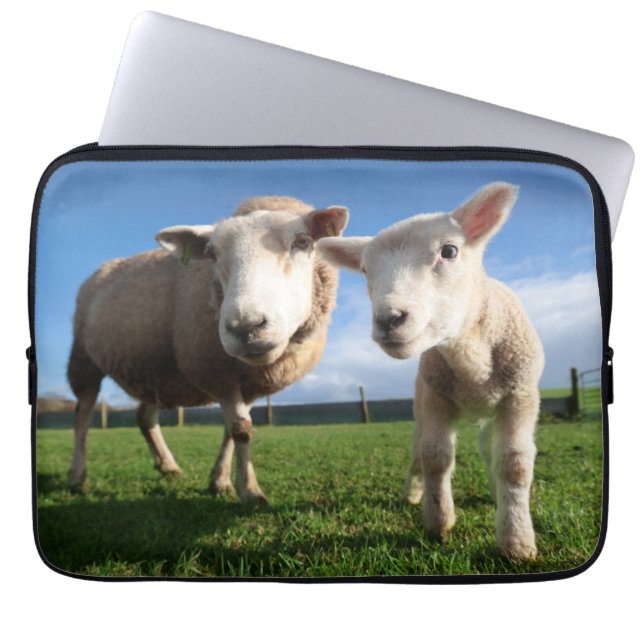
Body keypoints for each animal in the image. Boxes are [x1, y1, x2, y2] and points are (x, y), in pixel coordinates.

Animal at [67, 196, 349, 505]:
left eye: (302, 241)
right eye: (212, 254)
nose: (245, 327)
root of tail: (102, 268)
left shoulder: (246, 382)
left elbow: (232, 430)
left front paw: (220, 480)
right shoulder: (217, 373)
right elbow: (240, 430)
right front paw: (250, 491)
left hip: (156, 369)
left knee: (144, 417)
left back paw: (168, 466)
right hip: (84, 360)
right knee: (82, 416)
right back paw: (78, 476)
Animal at [317, 183, 544, 559]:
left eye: (449, 251)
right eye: (364, 270)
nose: (389, 319)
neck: (469, 357)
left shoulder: (521, 396)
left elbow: (514, 463)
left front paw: (517, 541)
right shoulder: (436, 398)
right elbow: (435, 457)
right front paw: (439, 522)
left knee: (489, 448)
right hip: (420, 402)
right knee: (417, 451)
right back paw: (412, 492)